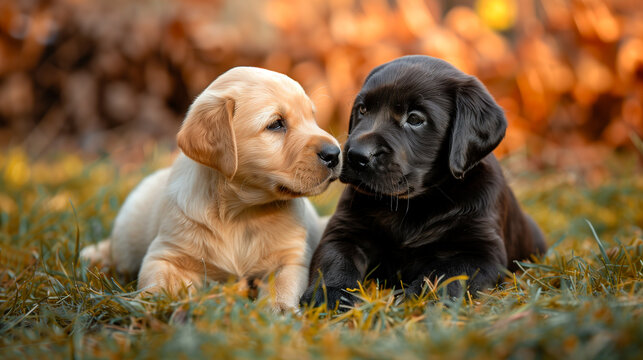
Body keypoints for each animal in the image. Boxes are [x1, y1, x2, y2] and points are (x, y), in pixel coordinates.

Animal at [82, 67, 342, 312]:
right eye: (276, 124)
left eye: (312, 118)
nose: (335, 153)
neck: (241, 212)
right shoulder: (167, 253)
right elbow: (156, 279)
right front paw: (150, 303)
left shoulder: (291, 258)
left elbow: (283, 283)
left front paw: (280, 308)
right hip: (128, 235)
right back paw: (95, 256)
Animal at [302, 55, 548, 306]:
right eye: (362, 109)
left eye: (414, 119)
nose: (356, 155)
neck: (413, 204)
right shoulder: (345, 230)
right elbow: (335, 261)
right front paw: (330, 294)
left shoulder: (480, 251)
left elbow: (445, 274)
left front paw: (416, 300)